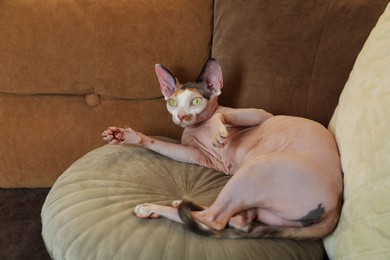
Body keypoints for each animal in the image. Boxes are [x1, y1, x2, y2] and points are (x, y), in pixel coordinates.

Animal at [102, 59, 342, 240]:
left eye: (196, 101)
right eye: (173, 103)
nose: (181, 116)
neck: (198, 127)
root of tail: (335, 210)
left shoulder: (261, 114)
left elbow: (223, 116)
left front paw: (218, 132)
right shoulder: (198, 155)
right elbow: (156, 143)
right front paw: (127, 136)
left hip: (256, 168)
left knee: (214, 220)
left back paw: (153, 208)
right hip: (267, 210)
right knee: (237, 222)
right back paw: (182, 203)